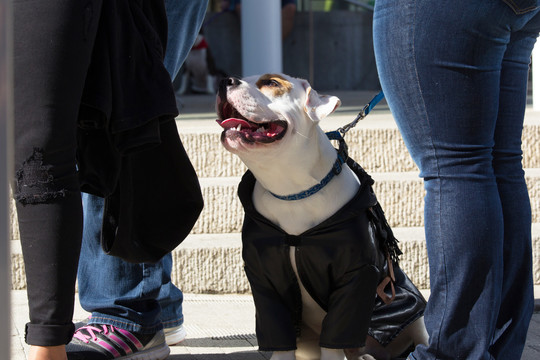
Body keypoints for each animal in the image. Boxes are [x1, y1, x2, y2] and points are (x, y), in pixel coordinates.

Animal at [214, 74, 426, 360]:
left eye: (271, 83)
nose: (225, 79)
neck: (292, 192)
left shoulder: (356, 278)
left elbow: (335, 340)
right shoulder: (266, 279)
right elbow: (279, 335)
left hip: (413, 317)